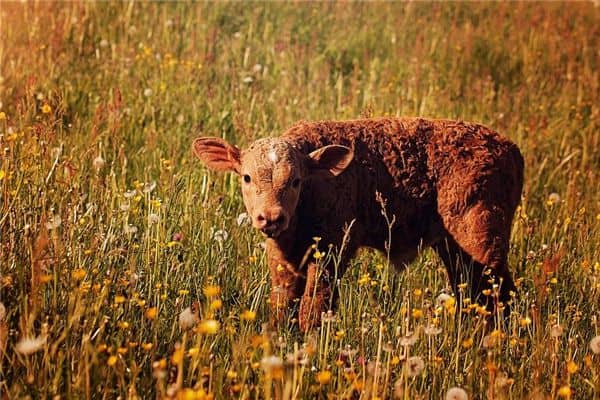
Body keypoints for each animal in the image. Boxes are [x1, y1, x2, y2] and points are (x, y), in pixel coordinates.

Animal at [195, 116, 524, 332]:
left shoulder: (332, 252)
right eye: (246, 177)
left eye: (296, 181)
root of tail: (510, 149)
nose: (272, 217)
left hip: (481, 239)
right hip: (454, 247)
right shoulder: (283, 261)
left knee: (500, 295)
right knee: (472, 293)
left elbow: (314, 309)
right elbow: (282, 306)